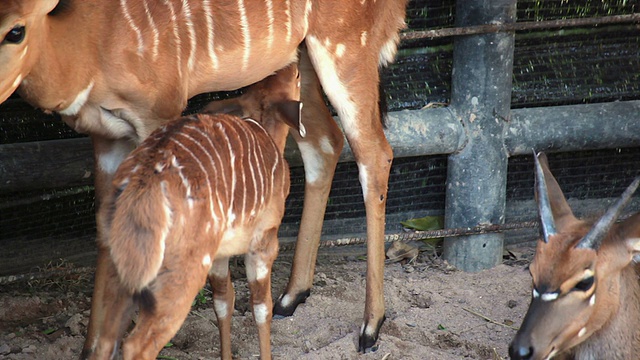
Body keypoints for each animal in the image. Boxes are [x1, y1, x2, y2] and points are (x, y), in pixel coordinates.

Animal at [91, 64, 304, 360]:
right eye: (297, 78)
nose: (293, 66)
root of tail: (141, 183)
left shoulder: (219, 255)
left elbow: (223, 303)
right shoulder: (264, 241)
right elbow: (262, 307)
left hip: (119, 269)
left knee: (105, 341)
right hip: (181, 274)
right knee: (137, 344)